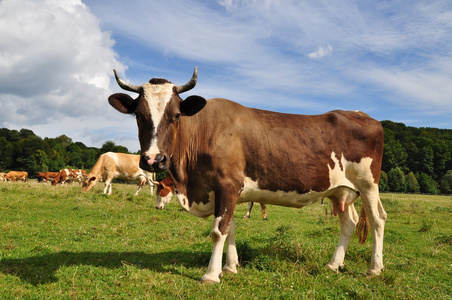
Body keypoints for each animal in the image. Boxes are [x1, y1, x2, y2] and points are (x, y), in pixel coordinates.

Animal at [107, 66, 386, 284]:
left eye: (175, 115)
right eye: (138, 115)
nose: (153, 159)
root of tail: (363, 115)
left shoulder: (227, 184)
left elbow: (218, 230)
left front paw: (211, 275)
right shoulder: (225, 190)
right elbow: (230, 228)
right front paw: (230, 267)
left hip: (368, 184)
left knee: (377, 219)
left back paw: (374, 268)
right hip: (341, 190)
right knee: (348, 222)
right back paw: (333, 264)